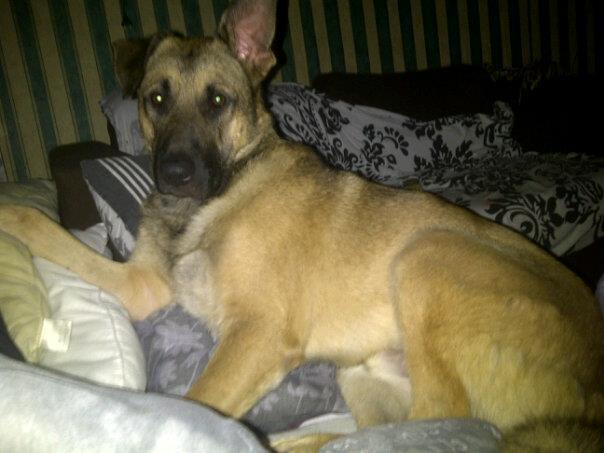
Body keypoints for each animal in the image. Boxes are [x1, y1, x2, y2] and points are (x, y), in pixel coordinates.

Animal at [1, 0, 603, 450]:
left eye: (217, 100)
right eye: (156, 99)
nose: (174, 174)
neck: (221, 194)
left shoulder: (259, 331)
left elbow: (197, 404)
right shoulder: (143, 285)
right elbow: (44, 228)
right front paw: (9, 212)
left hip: (430, 254)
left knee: (444, 418)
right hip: (361, 369)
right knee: (391, 430)